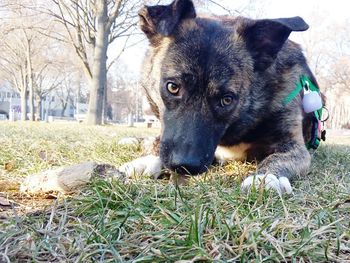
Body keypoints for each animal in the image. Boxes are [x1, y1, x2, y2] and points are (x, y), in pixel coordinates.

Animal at [119, 0, 324, 195]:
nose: (184, 165)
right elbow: (158, 143)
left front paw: (264, 178)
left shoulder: (294, 146)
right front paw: (148, 160)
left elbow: (278, 158)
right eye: (173, 87)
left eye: (227, 99)